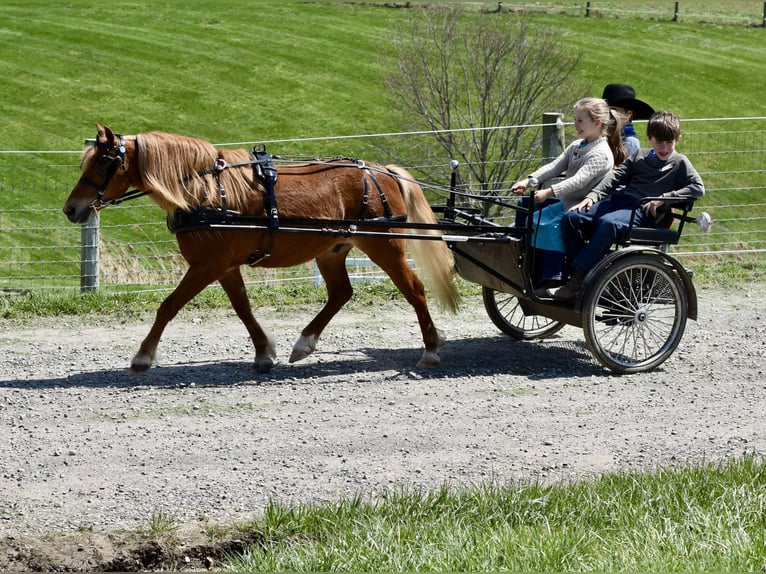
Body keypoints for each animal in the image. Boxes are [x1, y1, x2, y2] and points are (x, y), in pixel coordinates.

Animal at [63, 124, 459, 374]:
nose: (71, 208)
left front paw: (143, 357)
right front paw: (264, 352)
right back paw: (304, 343)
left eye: (104, 162)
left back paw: (430, 349)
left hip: (385, 245)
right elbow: (243, 309)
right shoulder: (223, 266)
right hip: (331, 250)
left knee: (414, 290)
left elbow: (169, 306)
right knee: (341, 293)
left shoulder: (207, 265)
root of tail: (381, 172)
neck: (207, 192)